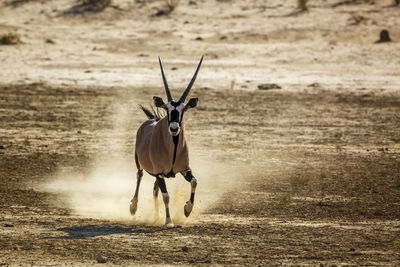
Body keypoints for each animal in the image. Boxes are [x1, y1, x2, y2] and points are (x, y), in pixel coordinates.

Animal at [130, 56, 203, 226]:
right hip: (140, 163)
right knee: (139, 176)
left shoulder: (184, 169)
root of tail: (151, 120)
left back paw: (156, 215)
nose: (174, 128)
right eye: (167, 109)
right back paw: (133, 207)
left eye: (183, 110)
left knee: (155, 189)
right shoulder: (159, 172)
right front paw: (169, 220)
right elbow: (166, 196)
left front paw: (187, 209)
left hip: (159, 175)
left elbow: (194, 182)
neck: (173, 148)